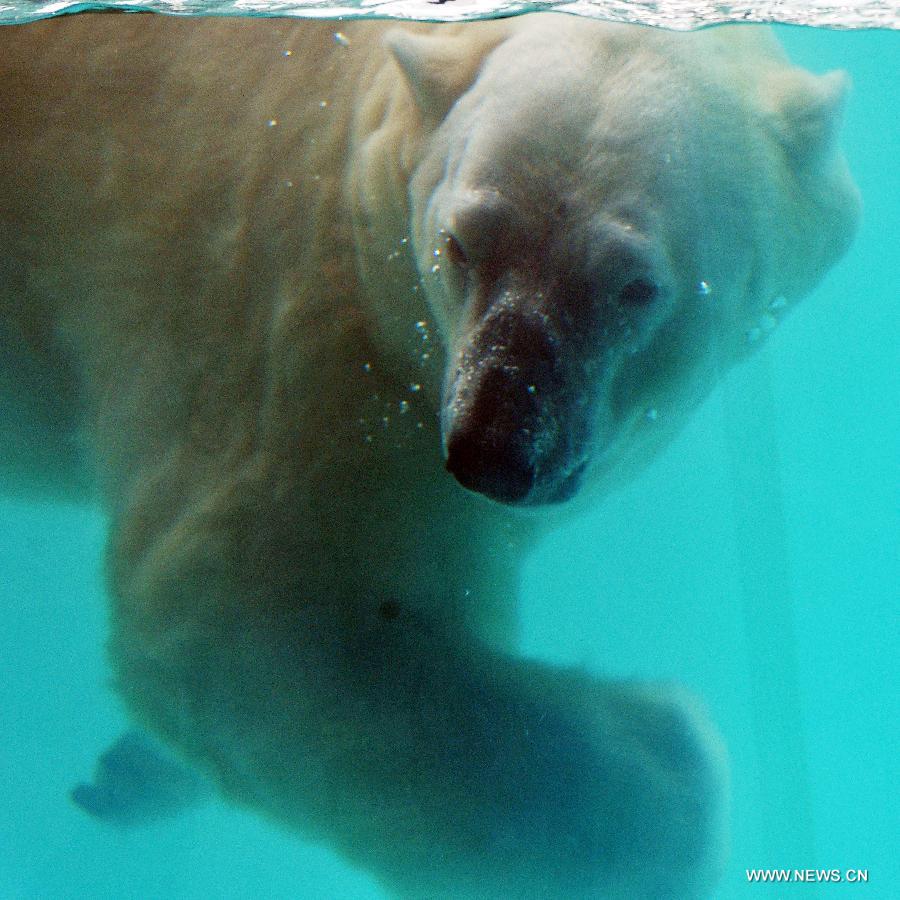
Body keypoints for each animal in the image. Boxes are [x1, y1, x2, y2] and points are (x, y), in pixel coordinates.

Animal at [0, 14, 856, 900]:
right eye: (460, 242)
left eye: (636, 286)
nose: (491, 450)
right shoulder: (314, 348)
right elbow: (242, 616)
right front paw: (665, 769)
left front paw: (133, 772)